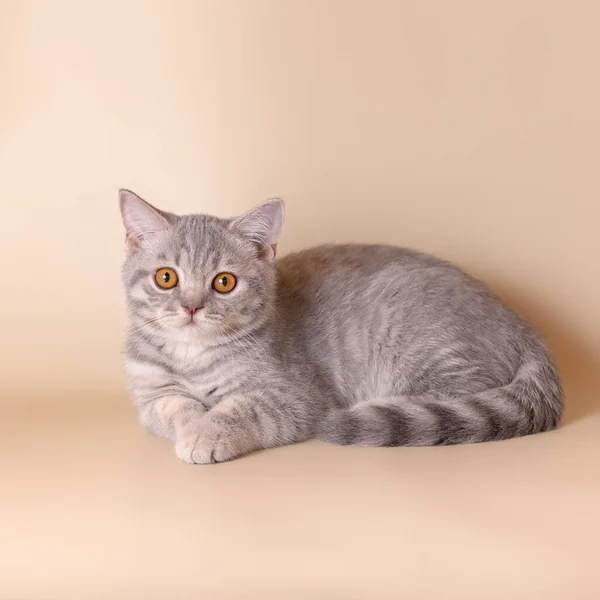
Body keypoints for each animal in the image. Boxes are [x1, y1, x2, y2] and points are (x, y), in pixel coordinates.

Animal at [120, 191, 564, 464]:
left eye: (224, 282)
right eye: (166, 278)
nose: (191, 307)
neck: (192, 358)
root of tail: (523, 327)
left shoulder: (297, 397)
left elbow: (242, 409)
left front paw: (206, 431)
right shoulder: (149, 392)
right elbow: (170, 408)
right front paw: (192, 422)